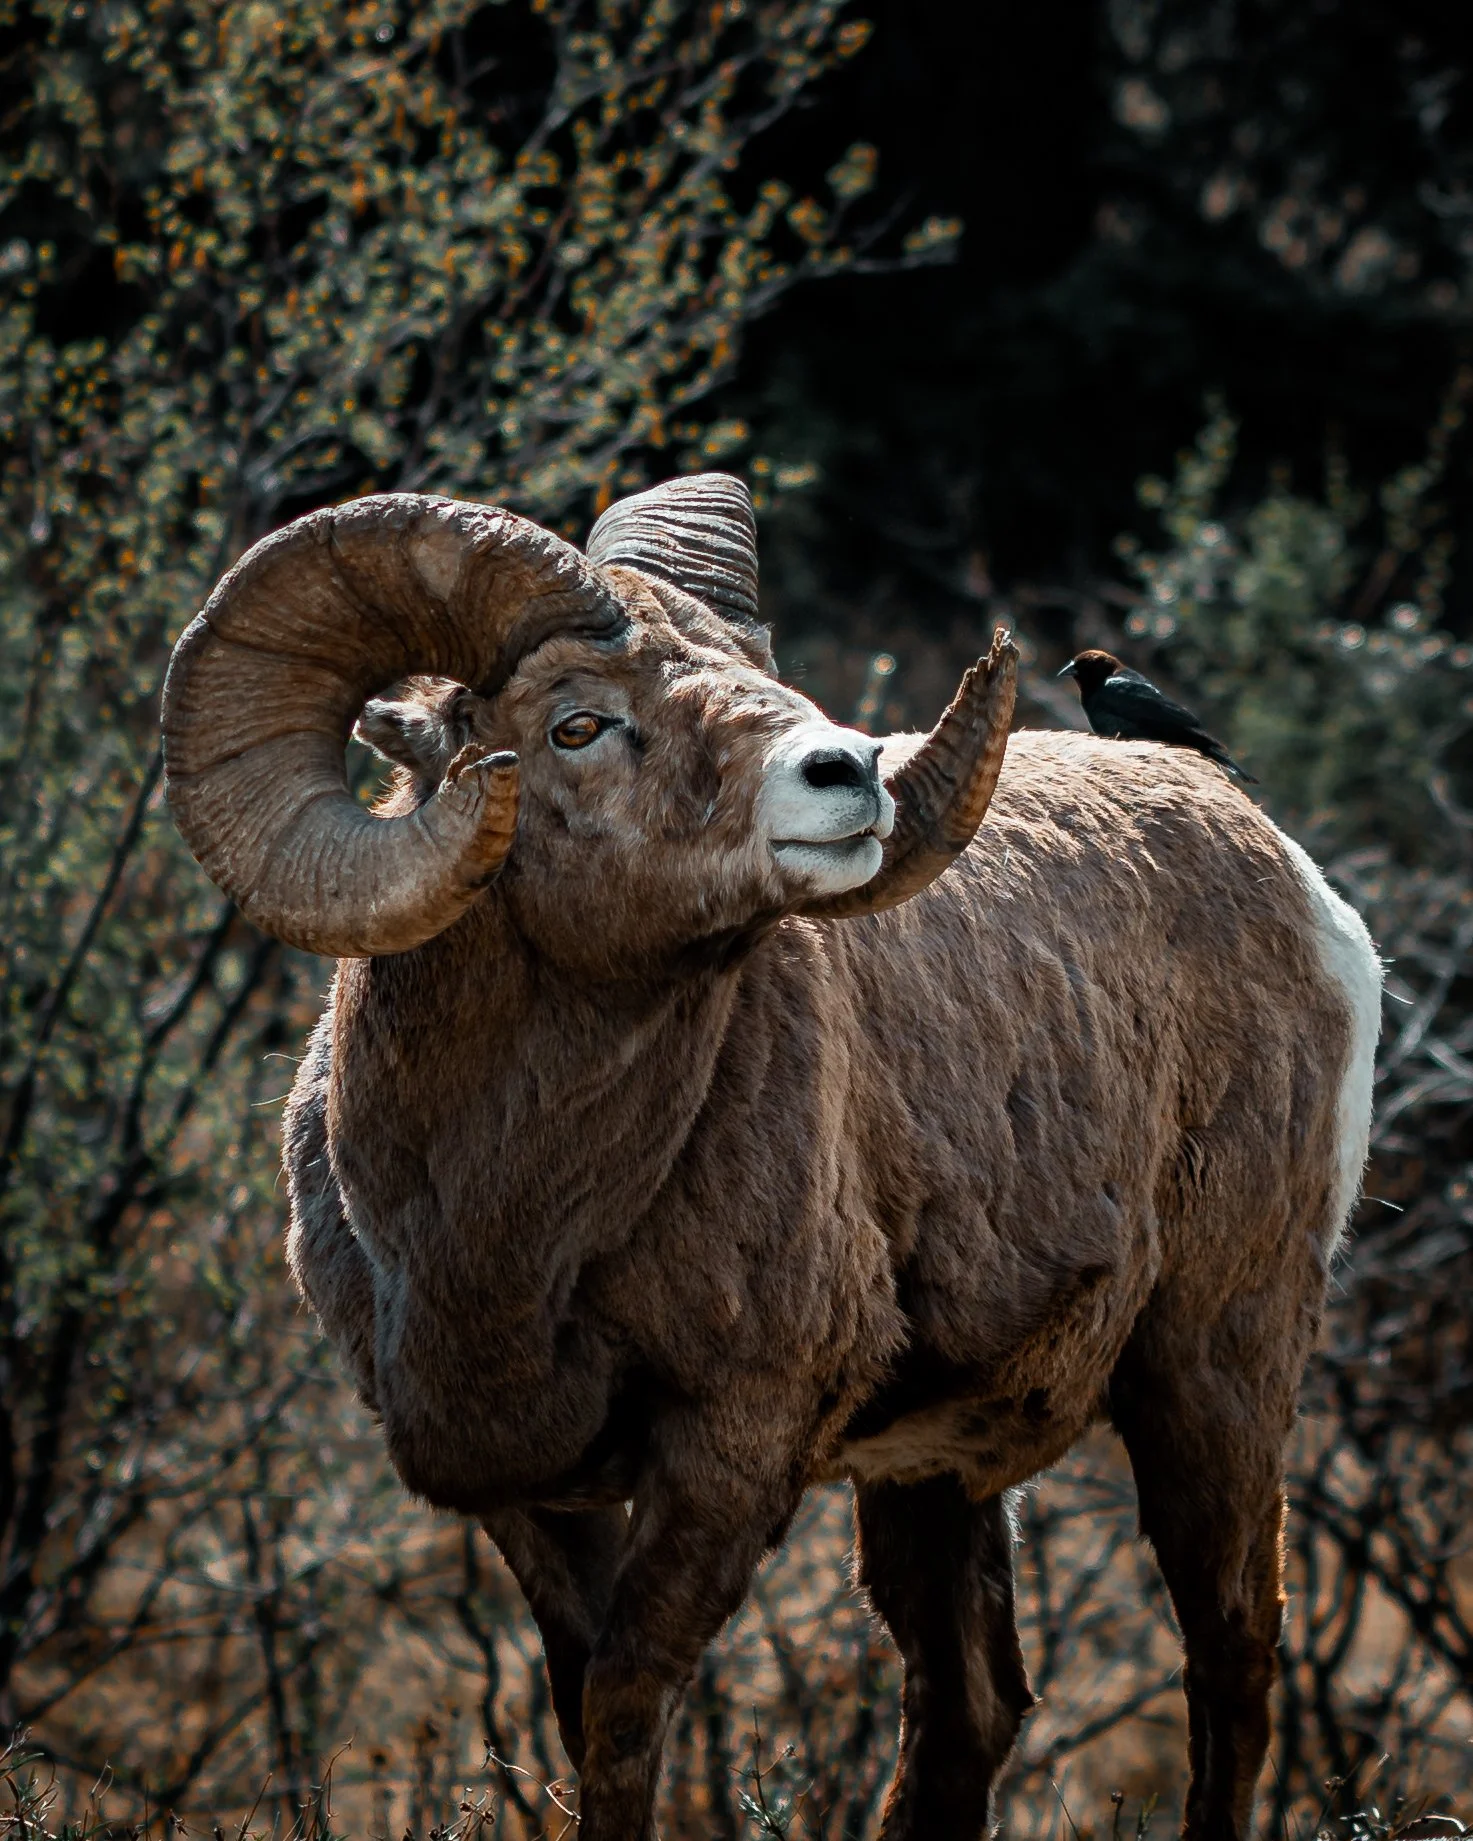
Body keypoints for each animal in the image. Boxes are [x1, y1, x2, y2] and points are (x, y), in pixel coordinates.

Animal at [161, 474, 1382, 1841]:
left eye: (762, 674)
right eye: (577, 724)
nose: (848, 772)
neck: (509, 1233)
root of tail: (1304, 887)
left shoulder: (729, 1451)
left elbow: (626, 1712)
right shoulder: (532, 1496)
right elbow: (582, 1698)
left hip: (1214, 1374)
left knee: (1231, 1660)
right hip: (937, 1476)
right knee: (970, 1707)